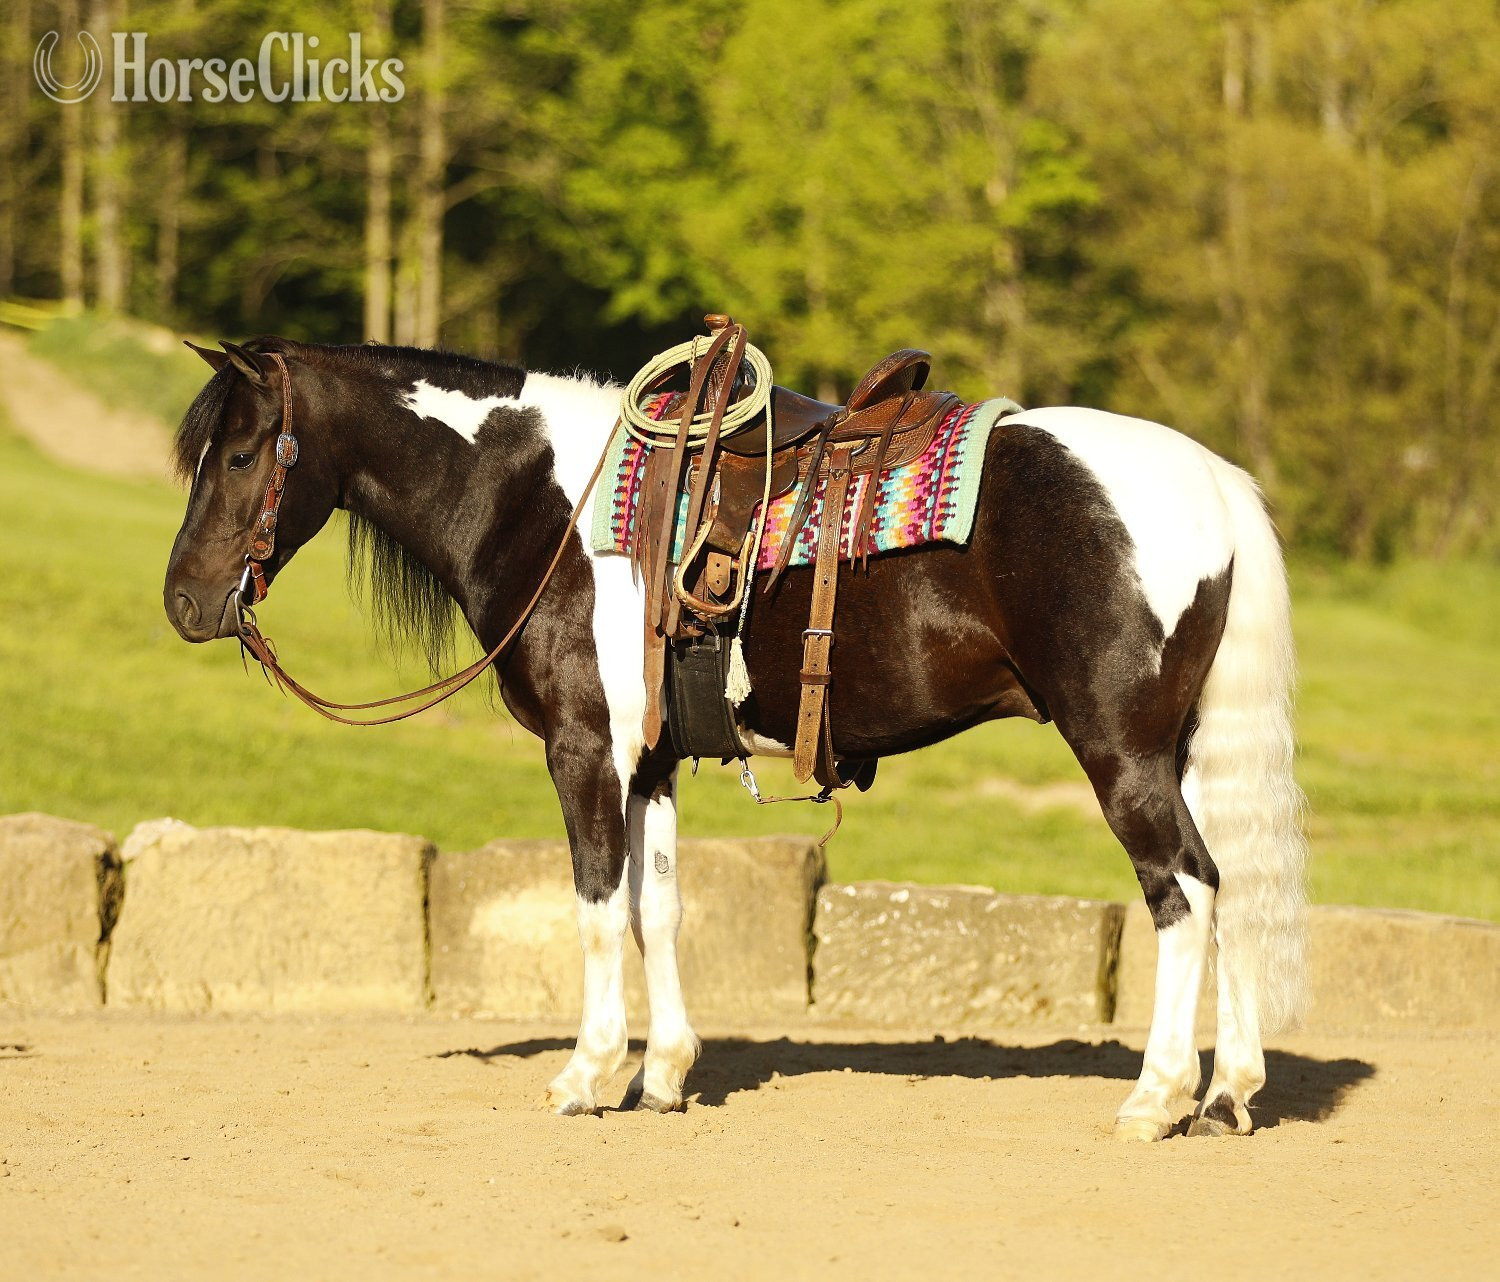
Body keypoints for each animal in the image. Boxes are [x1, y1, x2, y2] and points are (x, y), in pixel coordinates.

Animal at [162, 335, 1307, 1141]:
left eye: (242, 451)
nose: (182, 602)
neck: (544, 500)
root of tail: (1212, 481)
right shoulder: (652, 763)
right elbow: (656, 909)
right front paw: (663, 1073)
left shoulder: (584, 750)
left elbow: (593, 906)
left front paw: (586, 1075)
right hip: (1178, 751)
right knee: (1233, 880)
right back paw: (1227, 1093)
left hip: (1118, 750)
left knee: (1186, 890)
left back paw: (1158, 1095)